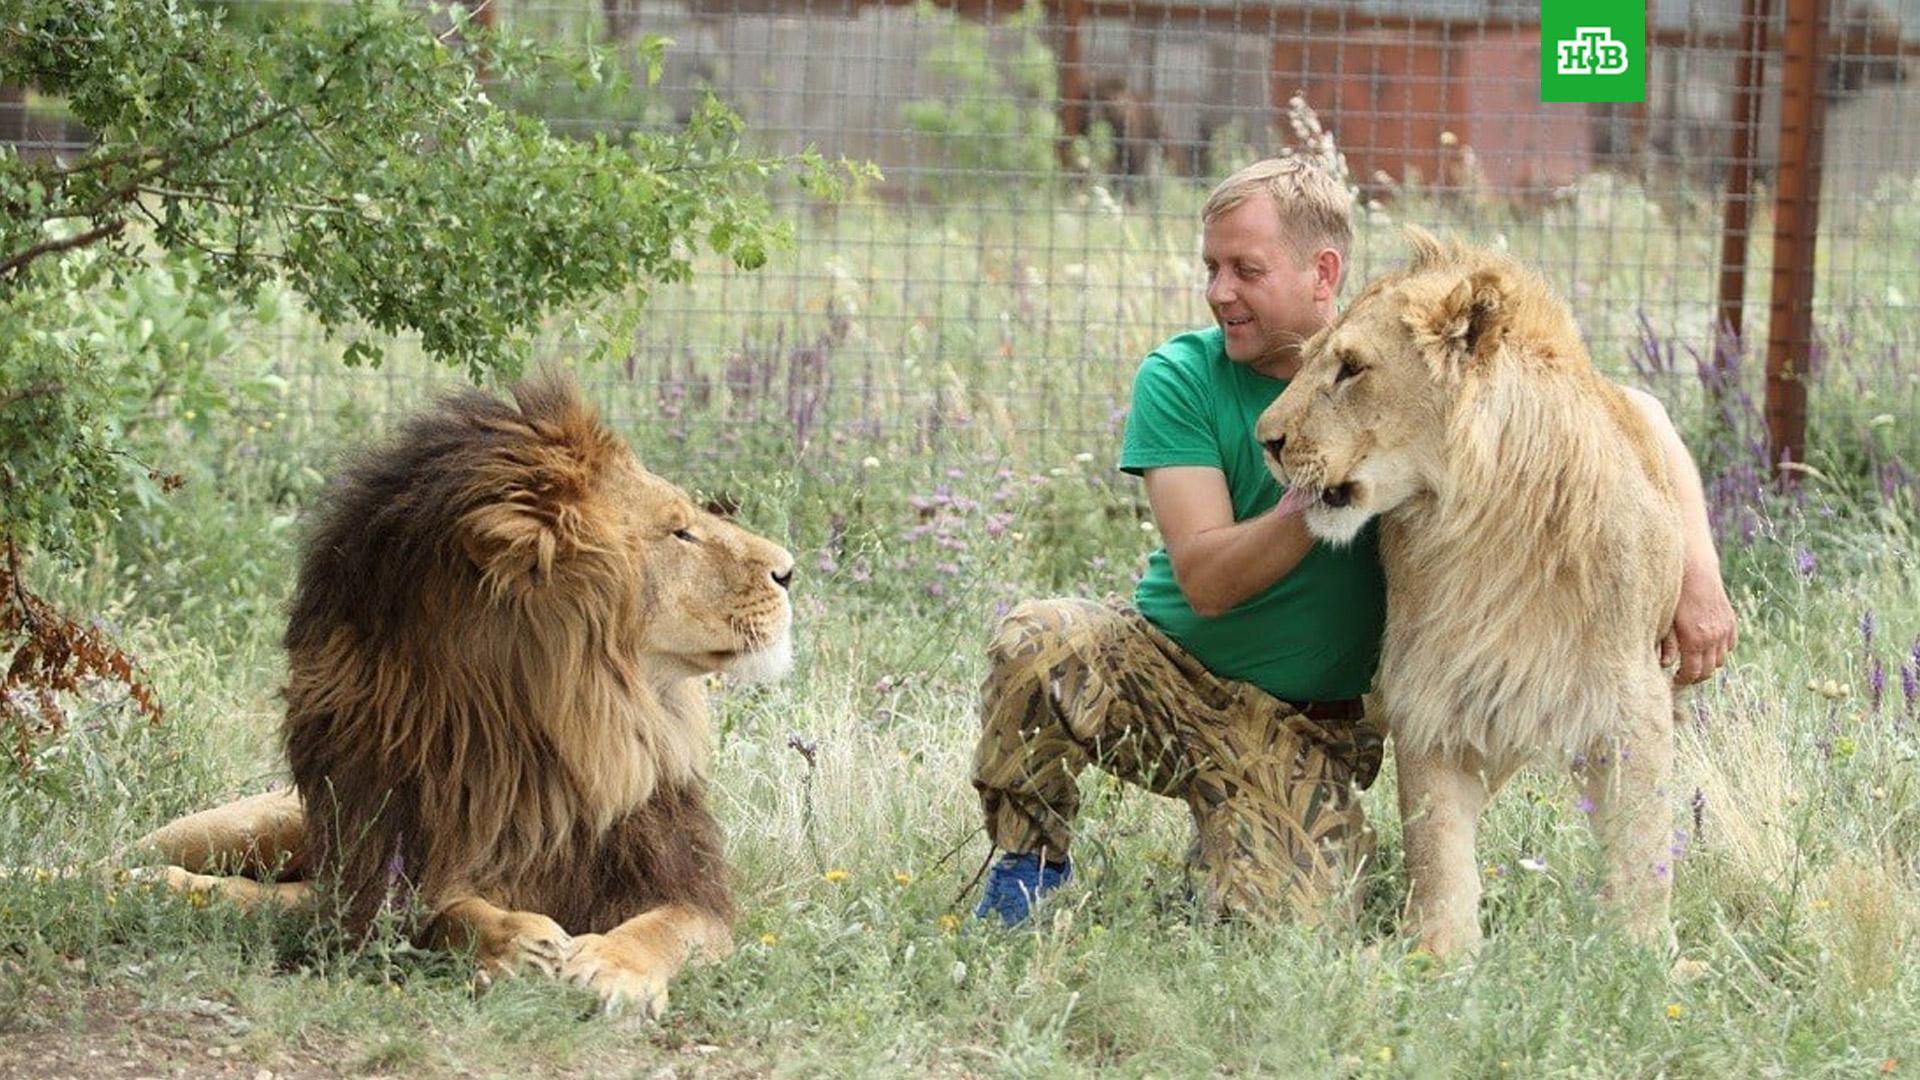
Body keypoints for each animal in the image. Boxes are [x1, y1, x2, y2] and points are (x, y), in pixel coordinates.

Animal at [135, 374, 796, 1016]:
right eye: (679, 531)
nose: (789, 570)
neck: (568, 735)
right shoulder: (393, 875)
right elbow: (446, 911)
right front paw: (517, 943)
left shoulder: (687, 887)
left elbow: (663, 928)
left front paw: (612, 968)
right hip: (250, 826)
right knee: (151, 856)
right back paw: (145, 882)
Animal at [1254, 229, 1685, 958]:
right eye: (1309, 361)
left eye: (1350, 369)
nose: (1267, 441)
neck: (1492, 527)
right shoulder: (1433, 687)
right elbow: (1436, 842)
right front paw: (1439, 955)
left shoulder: (1628, 697)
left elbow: (1641, 839)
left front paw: (1642, 956)